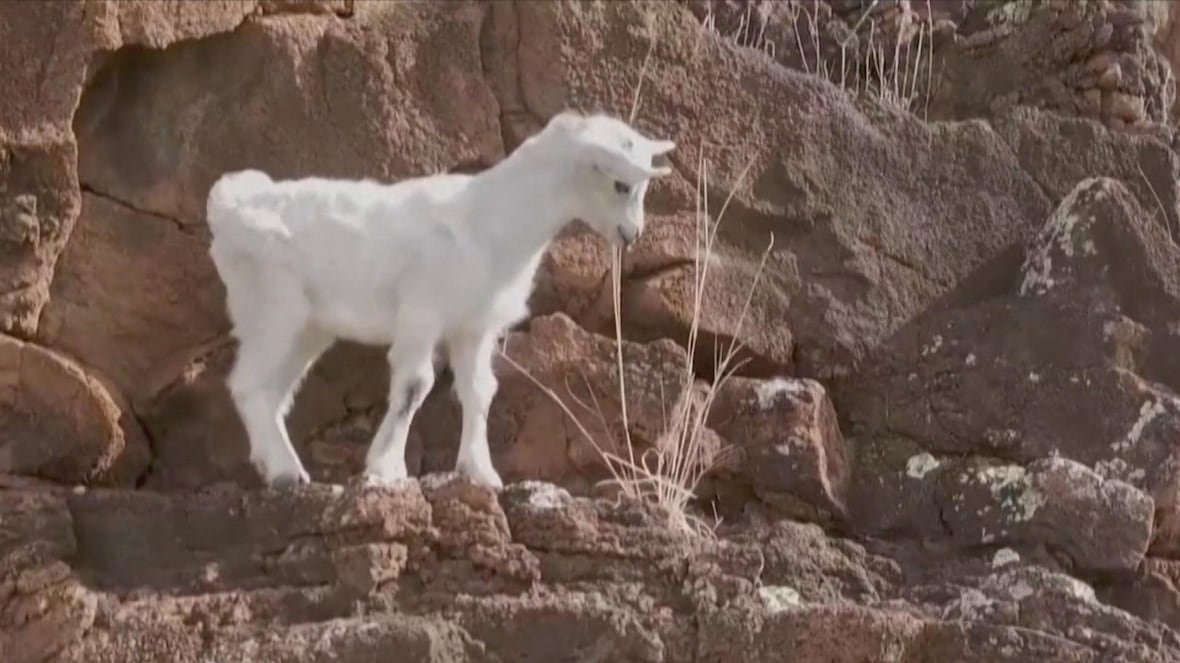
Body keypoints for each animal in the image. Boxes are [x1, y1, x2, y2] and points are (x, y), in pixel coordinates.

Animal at [207, 110, 679, 488]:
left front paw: (481, 473)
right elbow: (416, 385)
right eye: (620, 184)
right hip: (273, 307)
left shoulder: (474, 327)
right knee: (248, 384)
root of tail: (229, 209)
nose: (632, 234)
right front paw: (385, 468)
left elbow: (479, 390)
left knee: (272, 392)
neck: (491, 220)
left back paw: (276, 464)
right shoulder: (422, 313)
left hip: (309, 326)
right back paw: (285, 472)